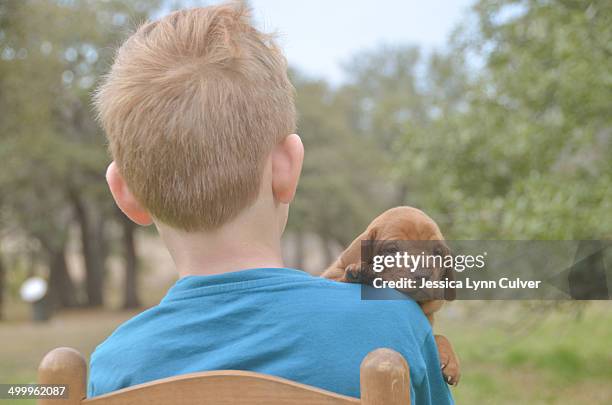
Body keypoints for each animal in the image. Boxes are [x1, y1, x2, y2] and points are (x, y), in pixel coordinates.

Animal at [322, 207, 462, 384]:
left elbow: (439, 336)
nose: (423, 274)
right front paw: (360, 272)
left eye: (437, 253)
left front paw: (450, 359)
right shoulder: (331, 275)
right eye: (391, 250)